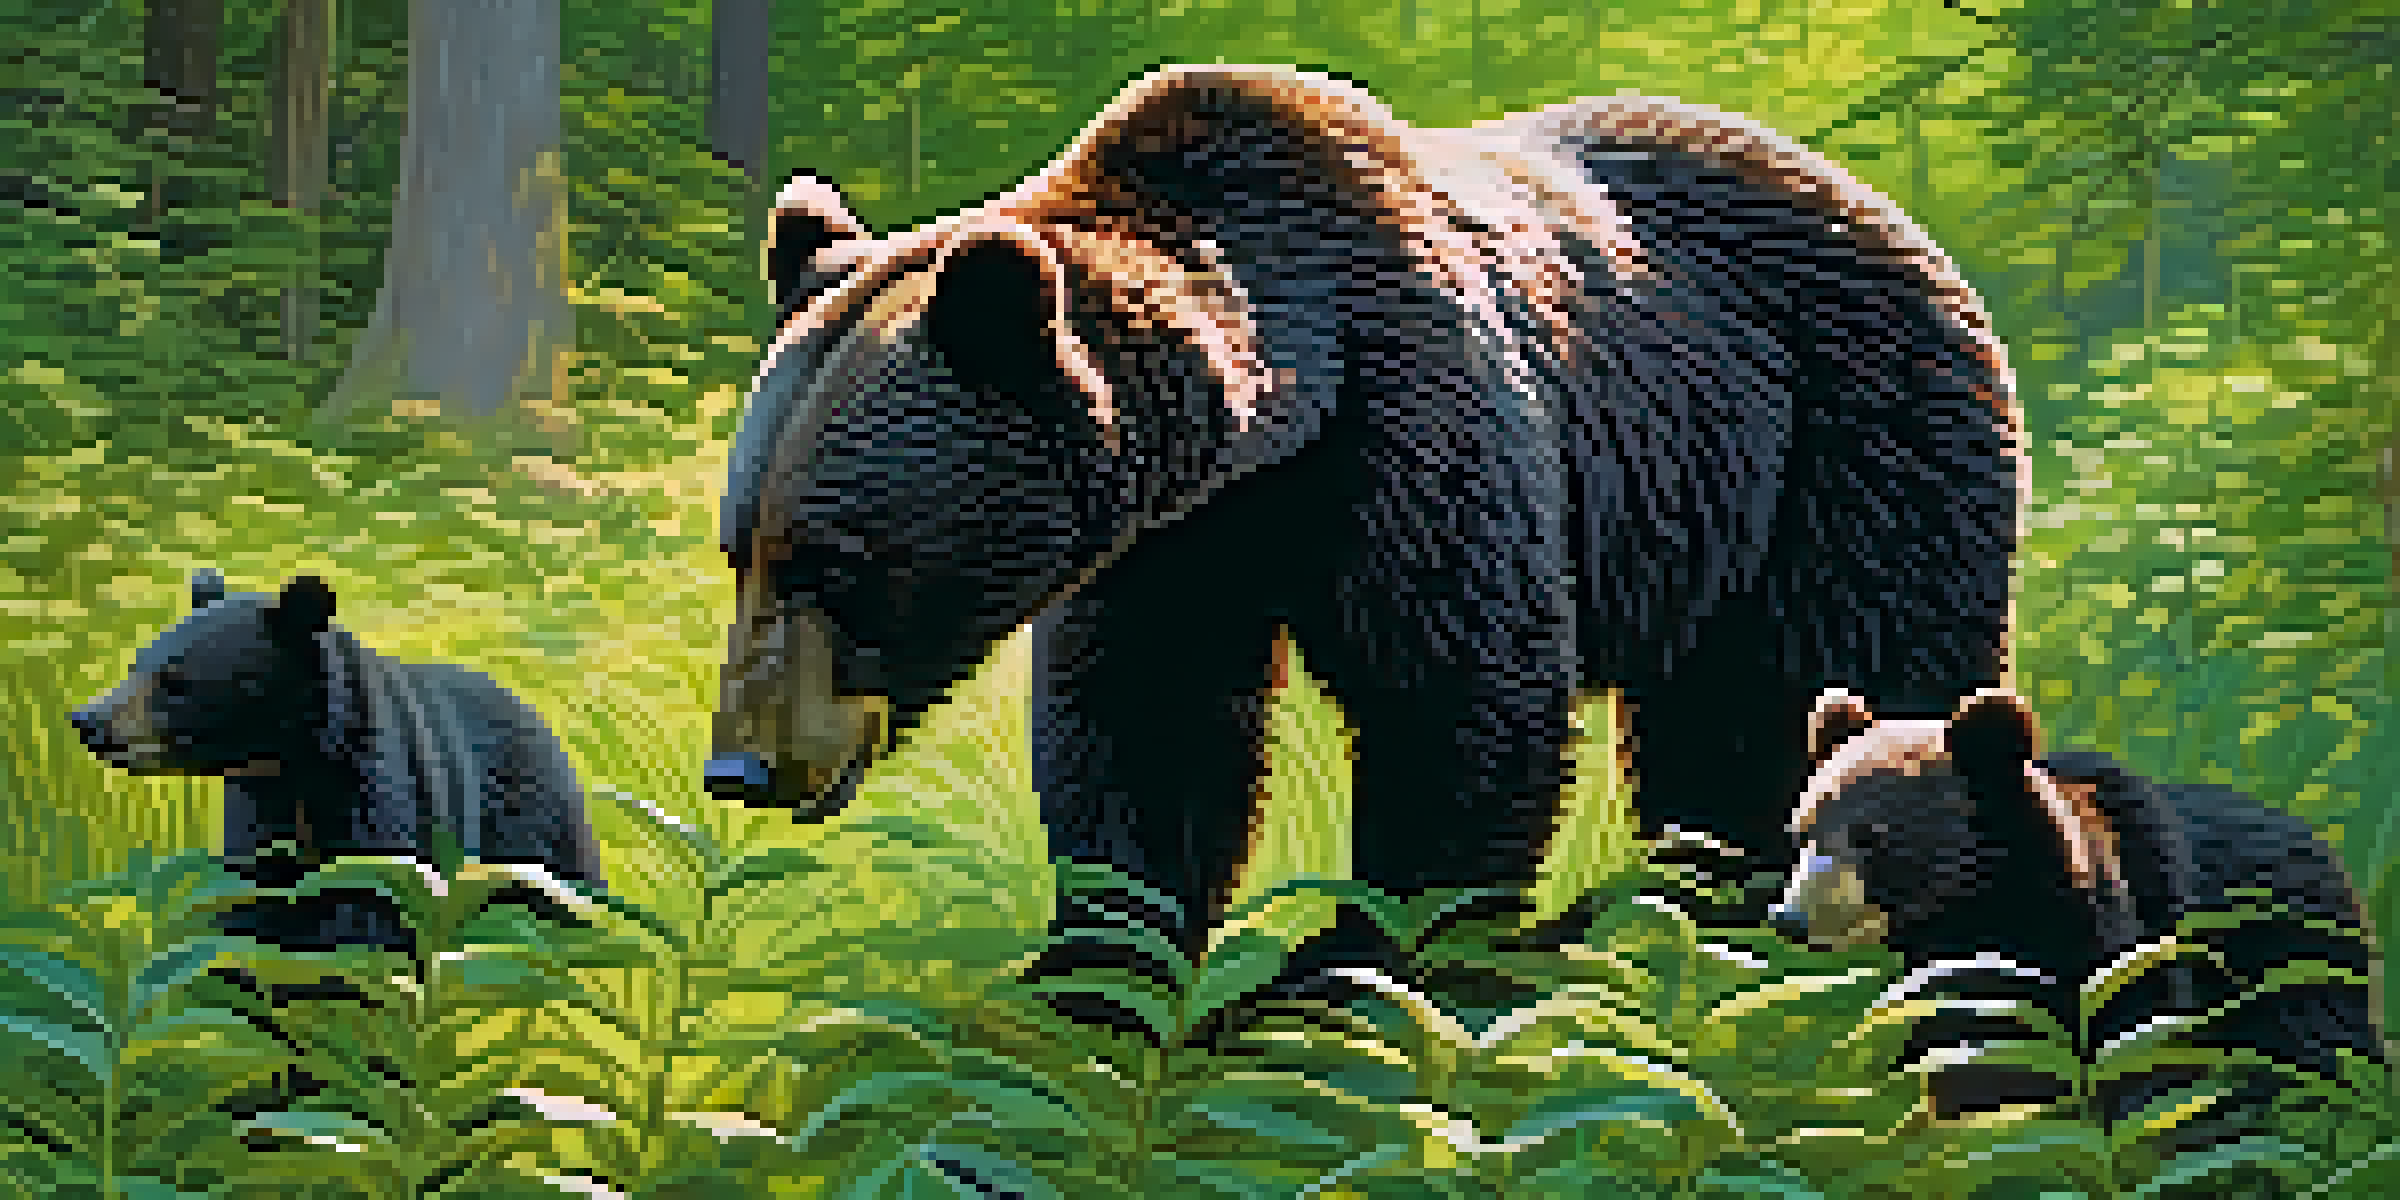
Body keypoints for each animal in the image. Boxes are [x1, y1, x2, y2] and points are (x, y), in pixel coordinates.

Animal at [70, 570, 606, 953]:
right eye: (135, 664)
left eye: (176, 682)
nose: (88, 721)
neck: (292, 772)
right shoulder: (256, 823)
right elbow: (249, 915)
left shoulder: (385, 803)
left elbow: (371, 920)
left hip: (538, 839)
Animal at [703, 64, 2020, 1020]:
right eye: (742, 548)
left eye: (836, 559)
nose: (741, 766)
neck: (1274, 424)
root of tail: (1921, 238)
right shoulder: (1174, 546)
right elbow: (1146, 725)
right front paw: (1100, 967)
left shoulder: (1409, 427)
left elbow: (1457, 691)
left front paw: (1351, 957)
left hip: (1842, 450)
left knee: (1829, 681)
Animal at [1771, 686, 2384, 1166]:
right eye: (1803, 830)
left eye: (1871, 838)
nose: (1790, 917)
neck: (1988, 907)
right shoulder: (1949, 975)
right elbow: (1966, 1055)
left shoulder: (2132, 935)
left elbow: (2138, 1058)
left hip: (2292, 960)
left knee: (2317, 1056)